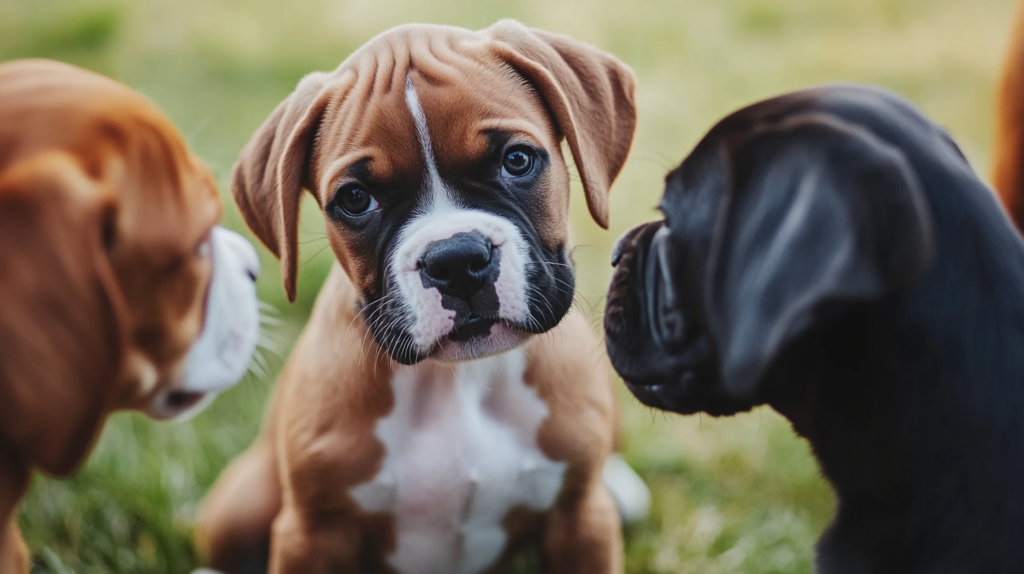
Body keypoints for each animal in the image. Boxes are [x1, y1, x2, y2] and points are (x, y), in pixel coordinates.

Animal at [197, 20, 647, 568]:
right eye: (355, 199)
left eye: (517, 160)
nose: (456, 260)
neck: (454, 380)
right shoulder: (312, 534)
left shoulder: (581, 521)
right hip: (237, 507)